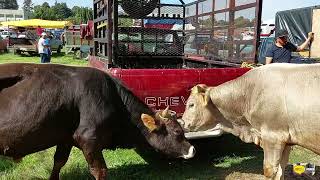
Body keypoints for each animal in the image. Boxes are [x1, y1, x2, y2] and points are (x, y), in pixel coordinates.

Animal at [0, 63, 195, 180]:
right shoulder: (89, 139)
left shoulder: (66, 138)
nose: (192, 149)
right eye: (177, 132)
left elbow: (59, 162)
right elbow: (100, 171)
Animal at [181, 63, 320, 179]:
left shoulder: (273, 137)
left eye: (191, 104)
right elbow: (281, 170)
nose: (182, 122)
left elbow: (270, 171)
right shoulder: (286, 141)